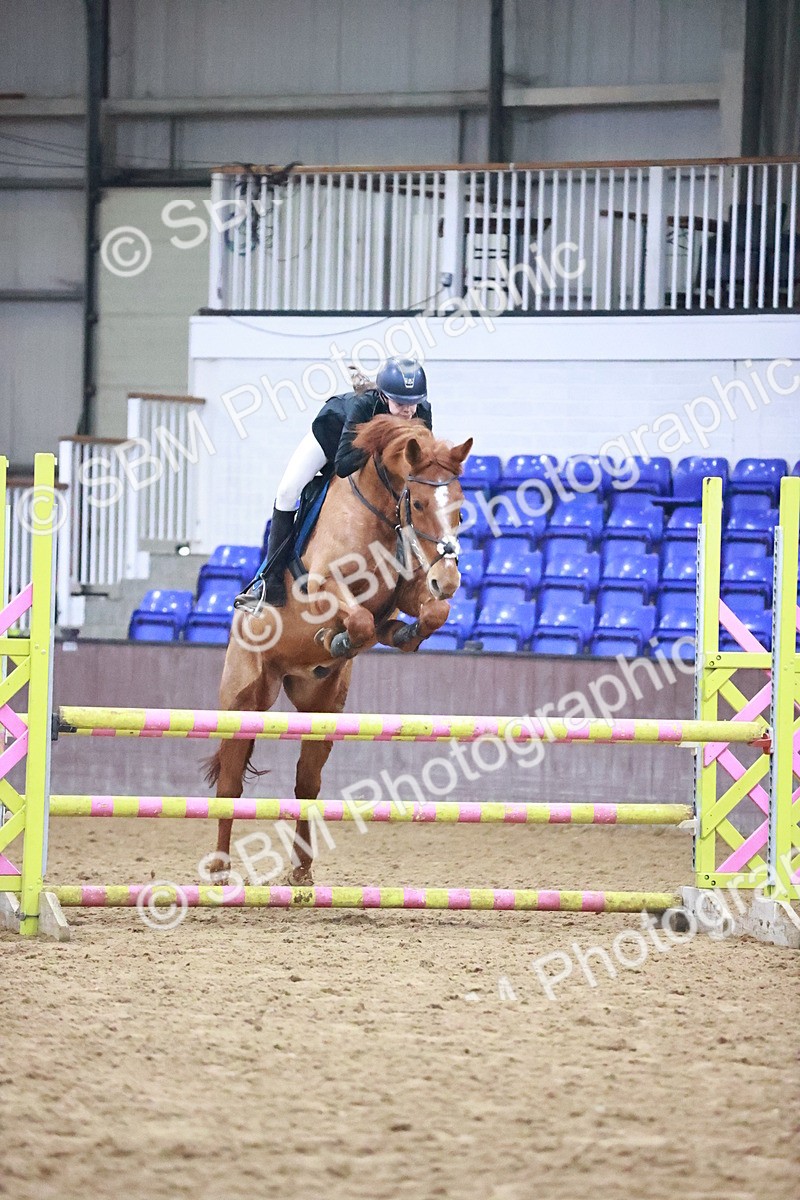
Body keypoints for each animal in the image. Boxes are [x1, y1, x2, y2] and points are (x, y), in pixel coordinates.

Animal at [205, 416, 473, 883]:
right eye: (419, 504)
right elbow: (359, 620)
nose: (449, 579)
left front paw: (401, 633)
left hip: (323, 709)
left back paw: (301, 870)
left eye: (459, 508)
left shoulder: (407, 590)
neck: (379, 512)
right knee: (230, 784)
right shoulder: (323, 587)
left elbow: (429, 612)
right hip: (243, 698)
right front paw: (339, 638)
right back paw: (221, 870)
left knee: (306, 784)